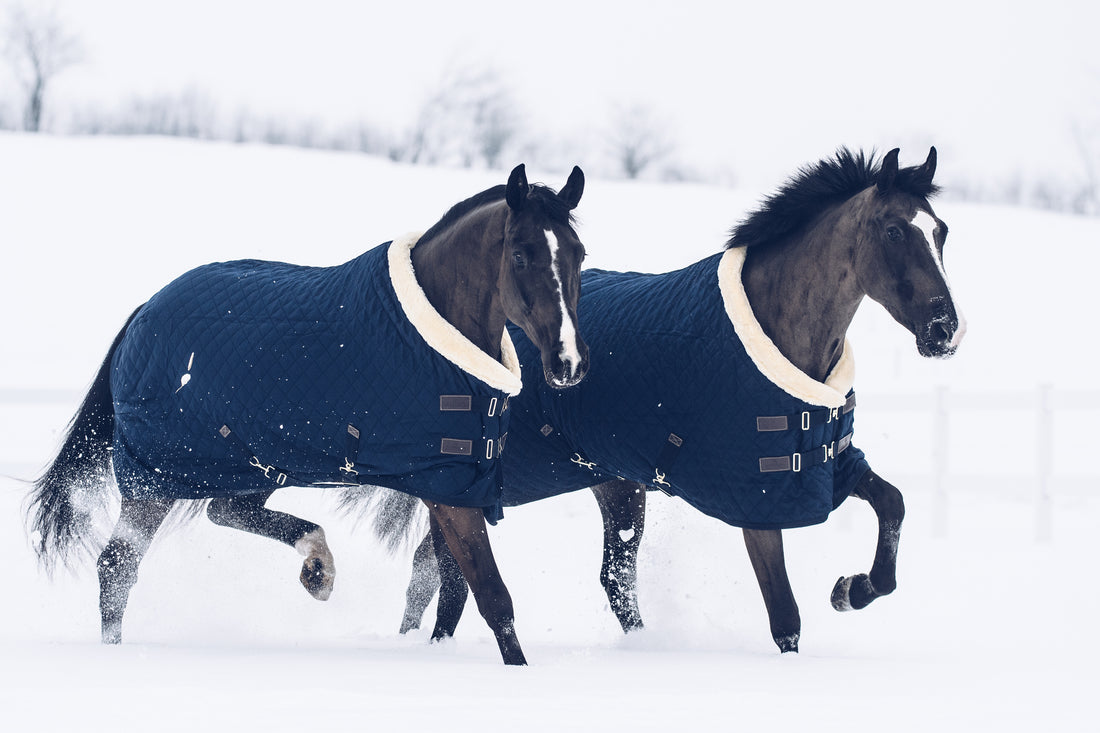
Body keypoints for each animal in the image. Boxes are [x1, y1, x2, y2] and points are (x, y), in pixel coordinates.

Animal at [25, 162, 589, 664]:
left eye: (579, 254)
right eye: (521, 255)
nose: (568, 363)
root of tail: (142, 312)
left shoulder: (454, 482)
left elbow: (451, 590)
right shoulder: (450, 494)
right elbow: (492, 597)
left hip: (252, 463)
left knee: (223, 512)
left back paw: (317, 564)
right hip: (157, 477)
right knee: (117, 567)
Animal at [358, 147, 963, 651]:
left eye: (940, 231)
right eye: (893, 230)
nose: (944, 331)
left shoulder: (829, 466)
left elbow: (893, 504)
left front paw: (853, 589)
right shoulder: (755, 501)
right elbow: (785, 618)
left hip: (609, 488)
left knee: (567, 577)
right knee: (446, 574)